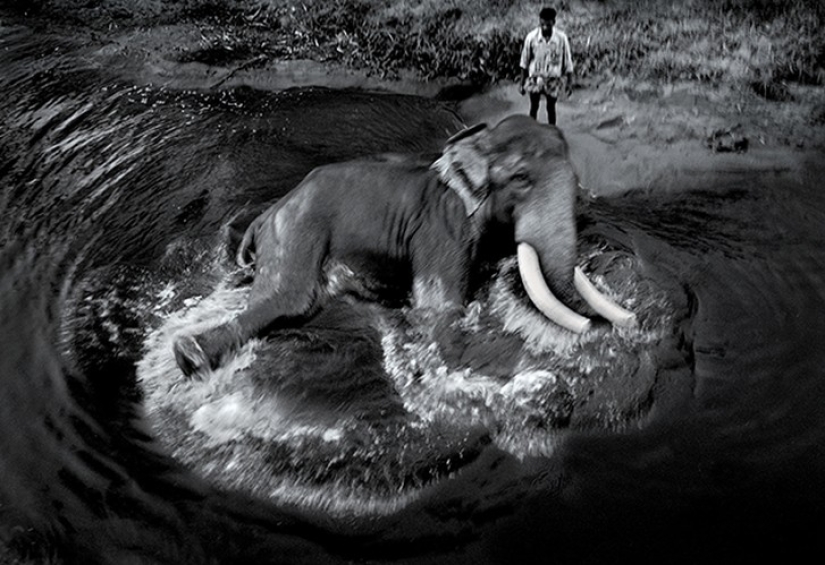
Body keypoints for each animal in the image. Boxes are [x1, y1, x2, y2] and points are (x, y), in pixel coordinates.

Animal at [173, 114, 636, 378]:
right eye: (521, 178)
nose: (609, 326)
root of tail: (268, 215)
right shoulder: (442, 231)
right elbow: (439, 312)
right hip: (299, 234)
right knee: (288, 301)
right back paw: (188, 357)